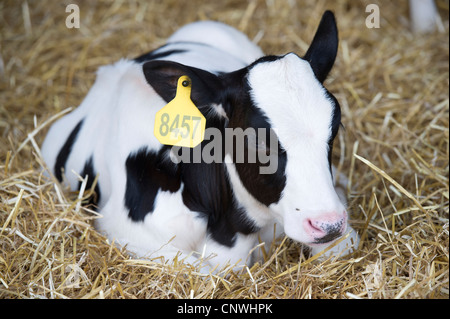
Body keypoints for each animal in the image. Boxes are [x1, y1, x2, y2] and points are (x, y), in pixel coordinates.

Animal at [41, 11, 358, 272]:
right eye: (257, 141)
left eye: (335, 127)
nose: (328, 224)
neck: (230, 230)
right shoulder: (126, 232)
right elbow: (205, 273)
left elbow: (343, 246)